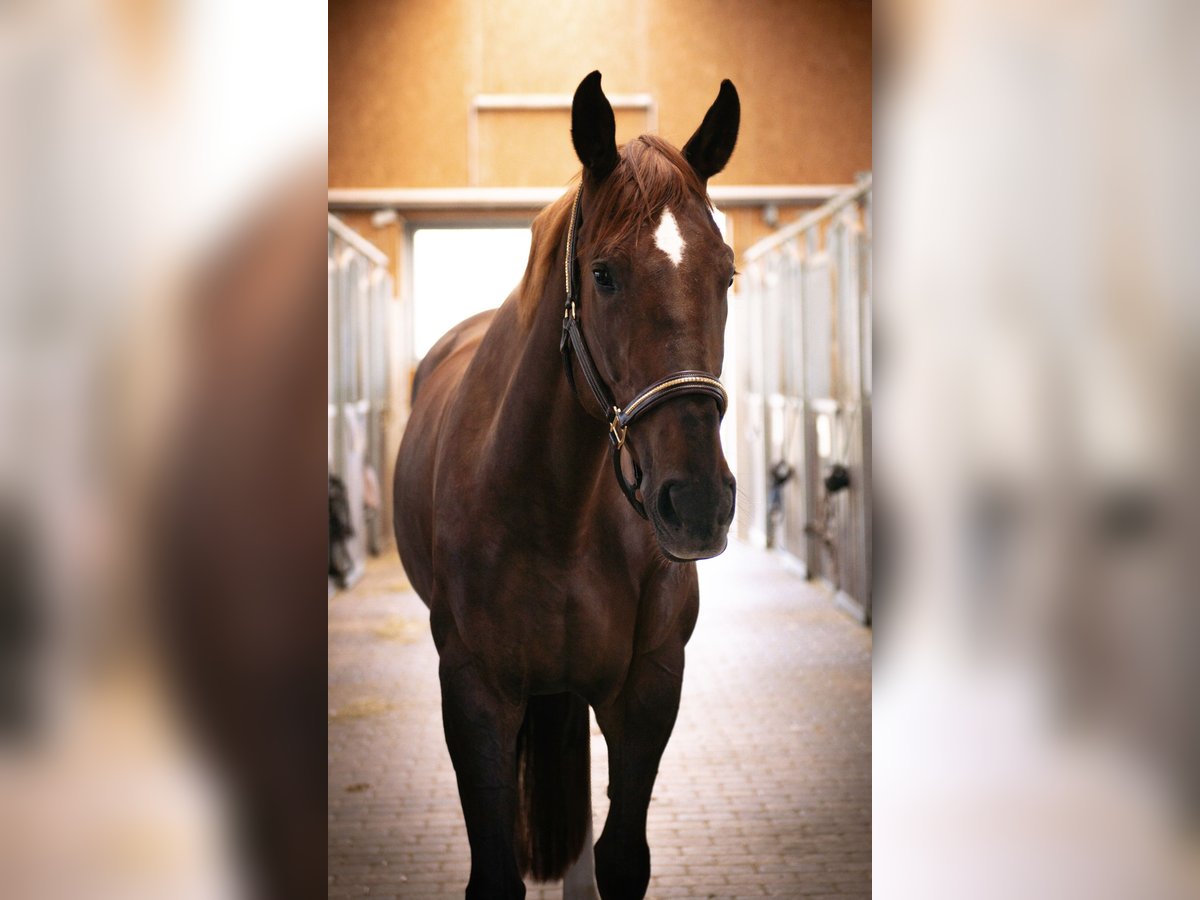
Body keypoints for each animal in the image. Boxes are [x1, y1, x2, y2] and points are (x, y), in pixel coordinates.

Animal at [396, 72, 739, 900]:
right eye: (604, 274)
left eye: (727, 273)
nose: (697, 504)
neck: (559, 511)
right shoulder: (476, 693)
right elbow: (495, 875)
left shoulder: (648, 685)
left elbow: (621, 859)